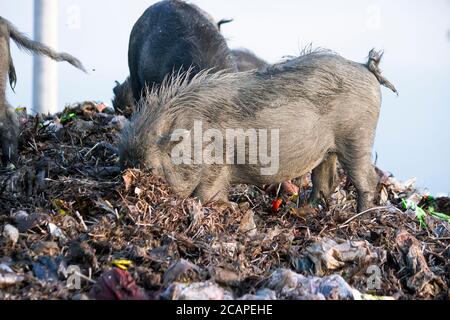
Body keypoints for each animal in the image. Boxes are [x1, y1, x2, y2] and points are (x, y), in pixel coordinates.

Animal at [119, 48, 398, 212]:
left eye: (150, 167)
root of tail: (365, 67)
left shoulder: (217, 168)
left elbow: (207, 195)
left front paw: (228, 207)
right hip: (328, 150)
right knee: (326, 182)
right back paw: (303, 210)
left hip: (357, 138)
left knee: (367, 180)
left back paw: (360, 217)